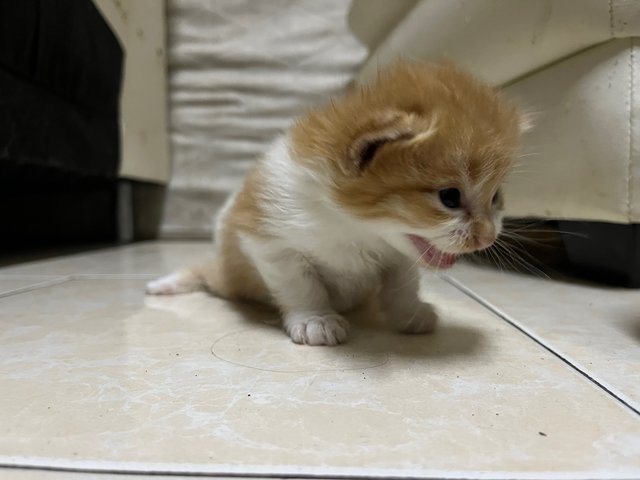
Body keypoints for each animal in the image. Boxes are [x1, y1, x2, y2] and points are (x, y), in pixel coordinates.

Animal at [148, 61, 528, 344]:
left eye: (495, 197)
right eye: (449, 197)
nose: (487, 237)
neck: (355, 228)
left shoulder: (399, 255)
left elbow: (401, 285)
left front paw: (409, 313)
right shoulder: (268, 239)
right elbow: (300, 283)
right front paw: (316, 320)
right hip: (230, 276)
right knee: (204, 272)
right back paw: (163, 284)